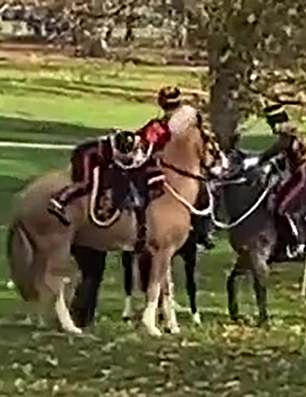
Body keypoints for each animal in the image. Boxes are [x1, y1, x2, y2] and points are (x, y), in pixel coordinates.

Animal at [7, 107, 227, 334]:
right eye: (210, 137)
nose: (225, 164)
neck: (169, 187)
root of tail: (24, 197)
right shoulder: (161, 251)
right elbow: (154, 289)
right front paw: (151, 326)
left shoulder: (164, 253)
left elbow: (165, 290)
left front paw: (171, 326)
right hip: (56, 248)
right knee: (54, 284)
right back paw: (69, 326)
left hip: (42, 251)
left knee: (39, 283)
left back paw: (42, 321)